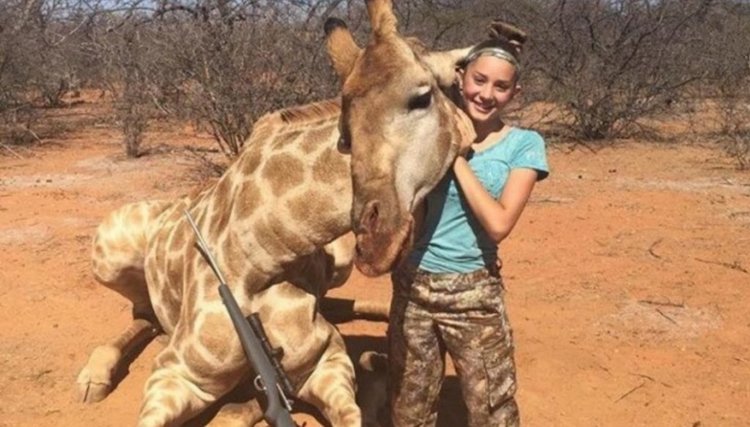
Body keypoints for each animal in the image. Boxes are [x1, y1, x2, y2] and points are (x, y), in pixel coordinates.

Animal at [76, 1, 476, 425]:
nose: (375, 239)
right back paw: (94, 377)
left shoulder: (325, 361)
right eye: (346, 130)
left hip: (341, 261)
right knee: (143, 315)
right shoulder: (176, 373)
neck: (261, 255)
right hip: (107, 253)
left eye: (422, 96)